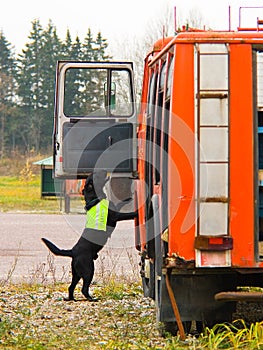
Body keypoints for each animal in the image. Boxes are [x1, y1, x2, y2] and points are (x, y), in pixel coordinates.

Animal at [41, 170, 136, 300]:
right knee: (84, 289)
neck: (94, 199)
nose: (103, 169)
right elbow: (127, 214)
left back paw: (71, 298)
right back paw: (91, 298)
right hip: (89, 270)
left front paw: (128, 199)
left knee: (71, 287)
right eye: (96, 175)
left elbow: (120, 203)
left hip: (76, 273)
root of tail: (72, 251)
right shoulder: (116, 216)